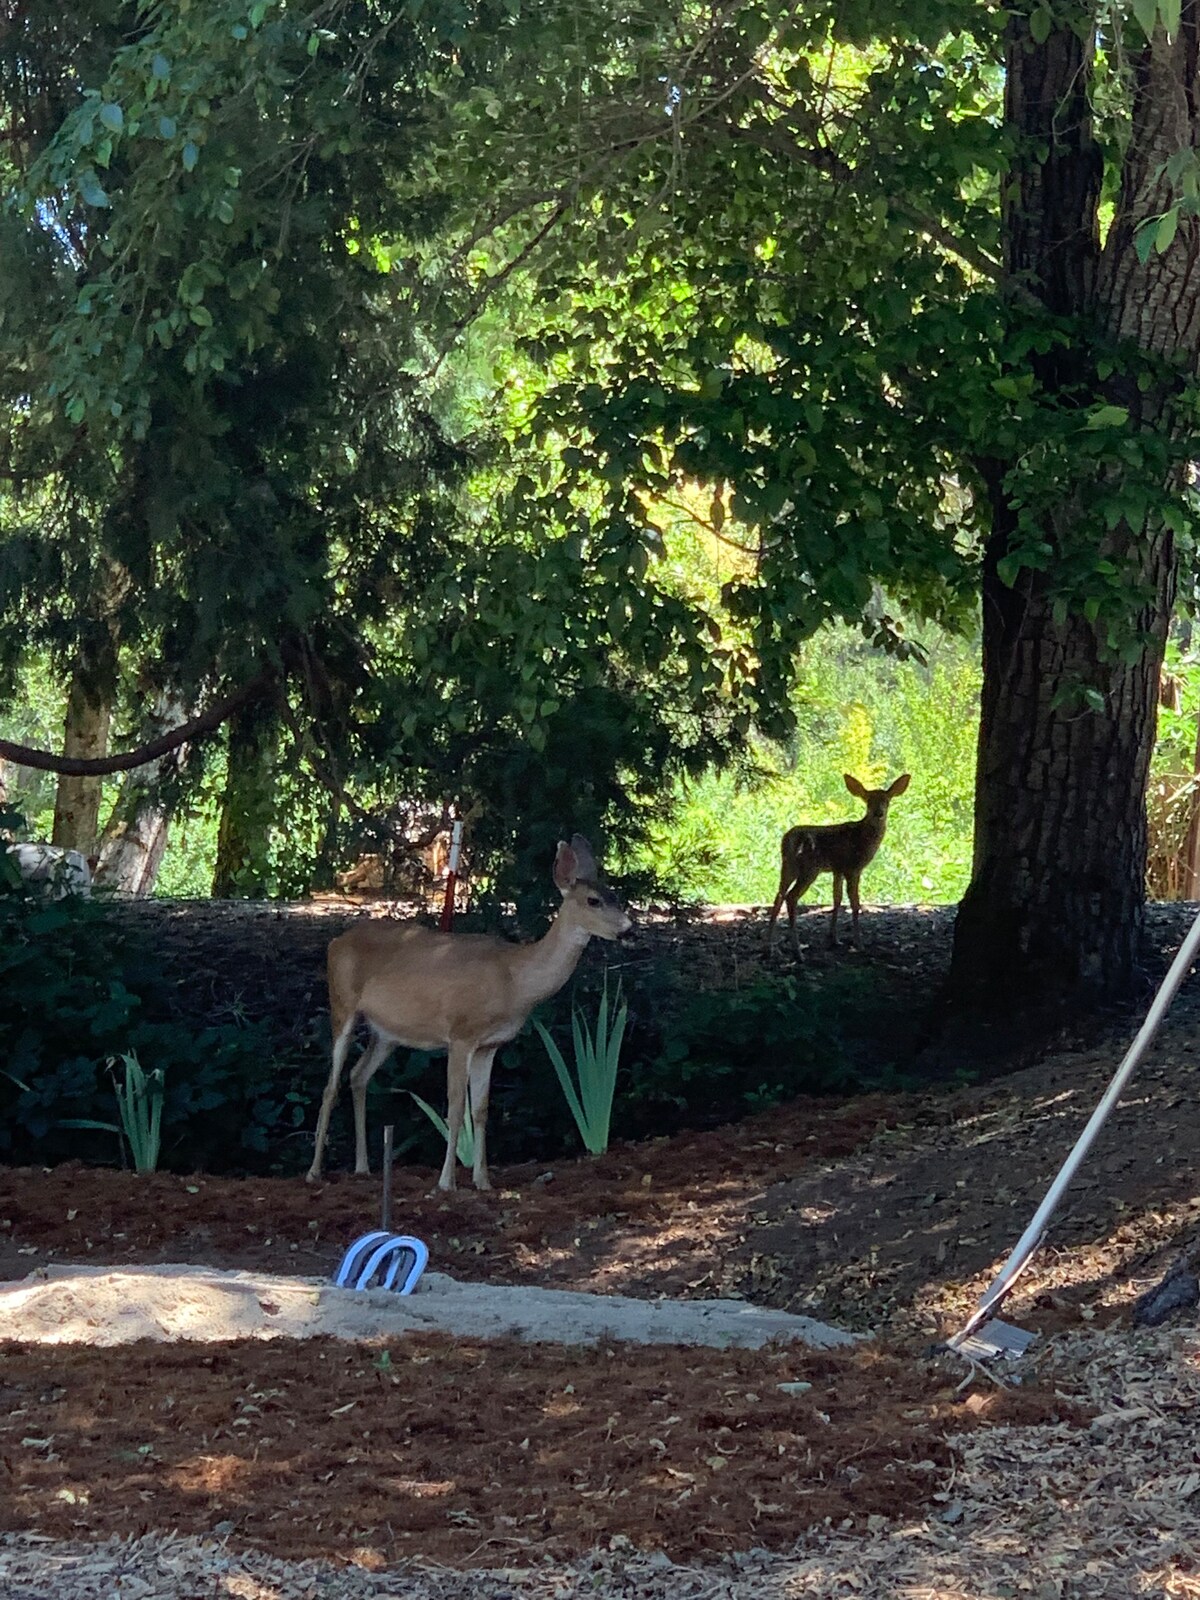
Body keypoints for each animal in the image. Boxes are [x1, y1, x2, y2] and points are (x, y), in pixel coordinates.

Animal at [307, 838, 630, 1190]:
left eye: (614, 894)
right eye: (593, 901)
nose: (627, 928)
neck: (515, 980)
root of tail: (335, 942)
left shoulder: (490, 1045)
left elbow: (481, 1110)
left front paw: (483, 1181)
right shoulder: (461, 1033)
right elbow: (455, 1106)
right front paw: (446, 1183)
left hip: (386, 1033)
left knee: (358, 1075)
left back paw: (363, 1168)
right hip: (342, 1004)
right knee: (330, 1086)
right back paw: (314, 1172)